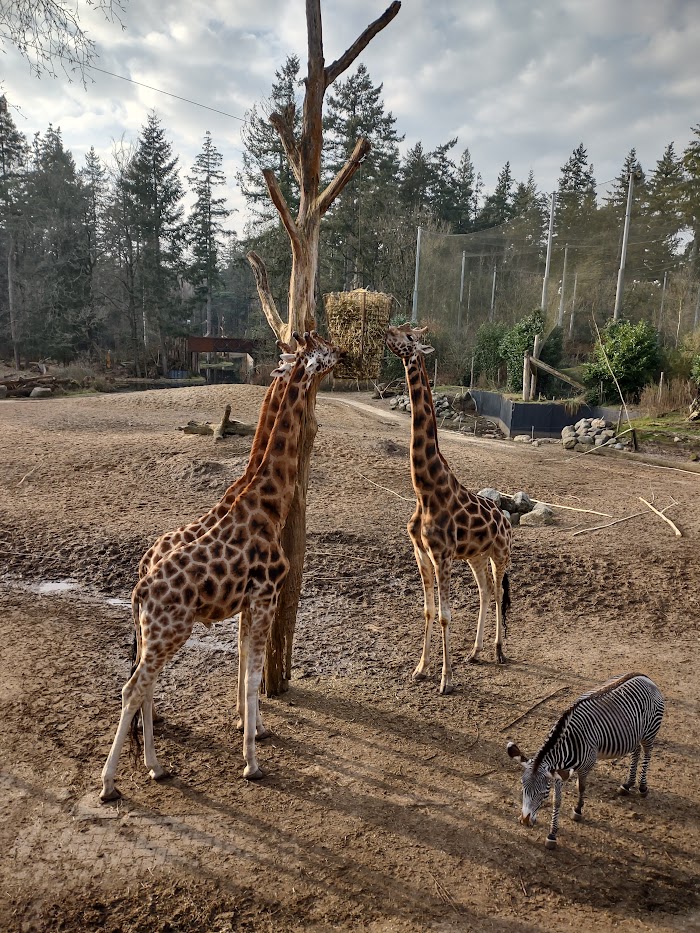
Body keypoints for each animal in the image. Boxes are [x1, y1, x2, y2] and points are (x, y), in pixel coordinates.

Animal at [100, 333, 343, 802]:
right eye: (320, 351)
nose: (342, 352)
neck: (267, 503)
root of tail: (140, 586)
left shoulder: (247, 603)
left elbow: (242, 663)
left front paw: (252, 730)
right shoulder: (265, 596)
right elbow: (251, 675)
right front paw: (252, 762)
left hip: (154, 633)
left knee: (144, 685)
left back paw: (156, 766)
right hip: (170, 631)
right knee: (132, 688)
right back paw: (109, 784)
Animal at [385, 323, 513, 695]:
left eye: (410, 338)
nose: (386, 333)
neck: (425, 490)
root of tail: (505, 517)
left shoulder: (442, 554)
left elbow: (445, 614)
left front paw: (446, 680)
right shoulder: (421, 551)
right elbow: (428, 611)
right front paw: (421, 669)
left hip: (501, 553)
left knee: (499, 593)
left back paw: (499, 651)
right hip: (475, 556)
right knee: (486, 592)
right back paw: (475, 651)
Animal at [506, 672, 664, 849]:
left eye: (542, 793)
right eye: (523, 788)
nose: (525, 821)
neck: (568, 745)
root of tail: (644, 677)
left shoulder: (584, 767)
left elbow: (581, 787)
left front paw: (578, 810)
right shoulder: (558, 772)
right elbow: (557, 801)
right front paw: (552, 834)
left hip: (649, 733)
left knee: (647, 754)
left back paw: (643, 787)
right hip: (634, 735)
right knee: (636, 753)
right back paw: (627, 784)